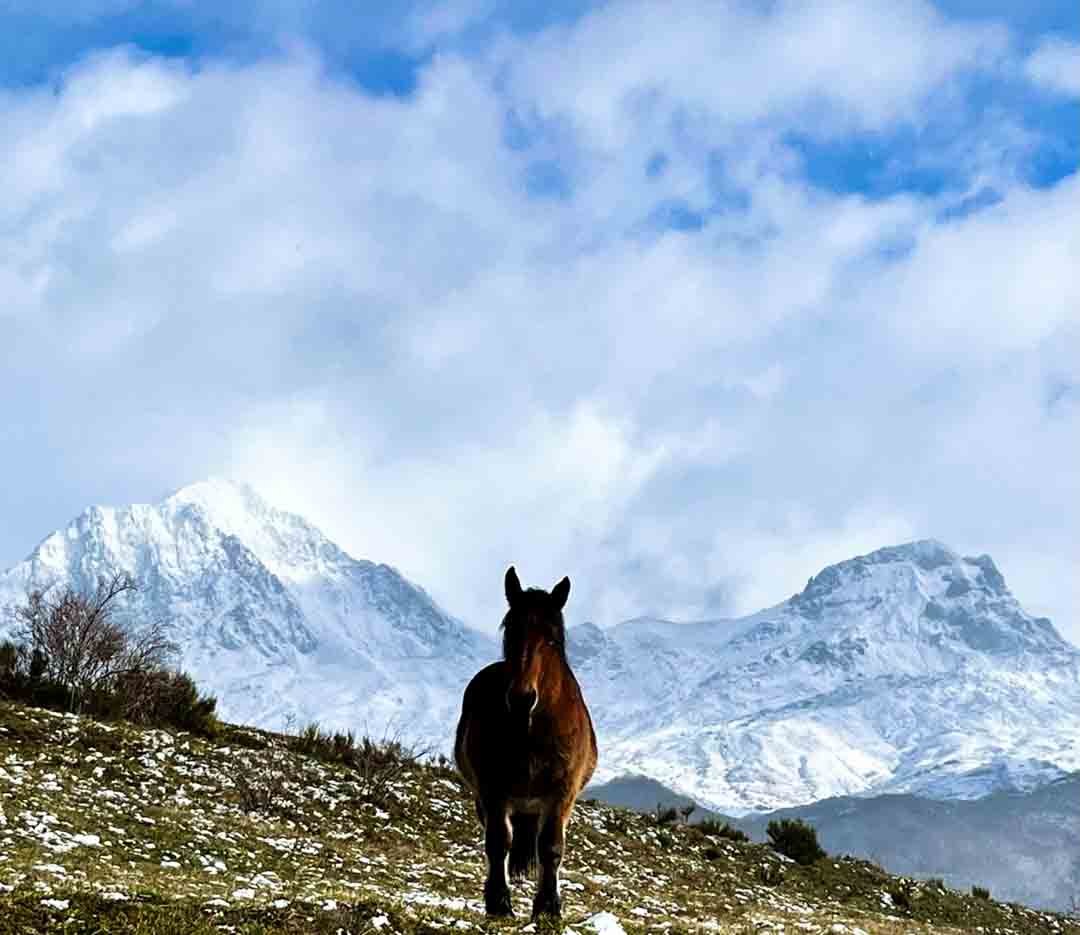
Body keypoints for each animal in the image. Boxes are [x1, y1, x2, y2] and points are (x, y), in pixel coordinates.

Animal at [451, 565, 596, 915]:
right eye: (510, 631)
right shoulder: (492, 789)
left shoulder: (562, 792)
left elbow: (551, 847)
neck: (530, 728)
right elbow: (497, 842)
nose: (521, 698)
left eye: (551, 639)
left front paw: (548, 906)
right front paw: (499, 901)